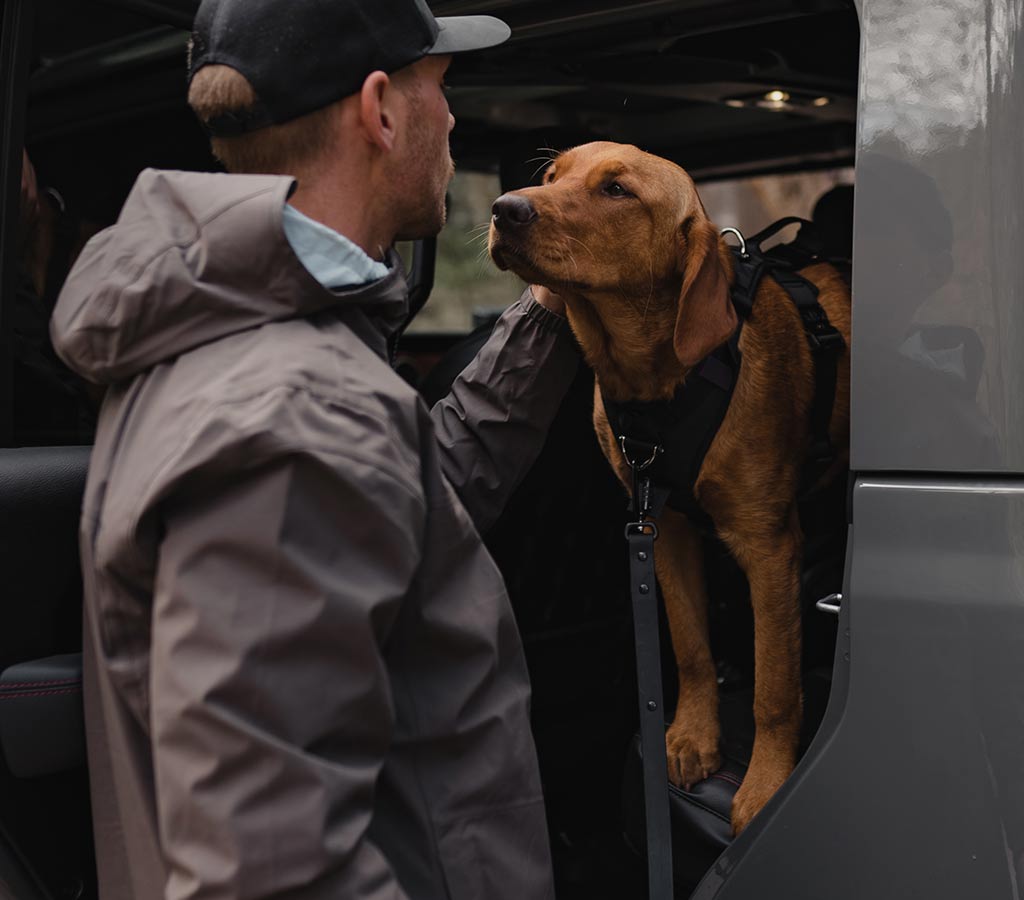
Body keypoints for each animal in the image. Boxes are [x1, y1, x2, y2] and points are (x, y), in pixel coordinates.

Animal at [487, 141, 847, 839]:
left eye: (617, 191)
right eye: (552, 175)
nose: (505, 208)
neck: (652, 382)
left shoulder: (769, 547)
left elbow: (774, 687)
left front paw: (766, 785)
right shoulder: (664, 528)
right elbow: (691, 647)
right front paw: (692, 738)